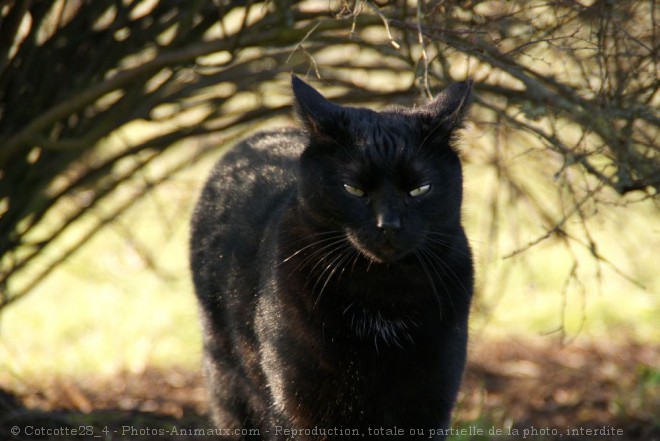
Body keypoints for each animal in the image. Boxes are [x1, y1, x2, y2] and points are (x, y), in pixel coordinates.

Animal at [191, 74, 474, 438]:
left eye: (419, 189)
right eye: (353, 189)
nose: (388, 224)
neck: (382, 296)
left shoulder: (430, 399)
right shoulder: (301, 406)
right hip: (228, 379)